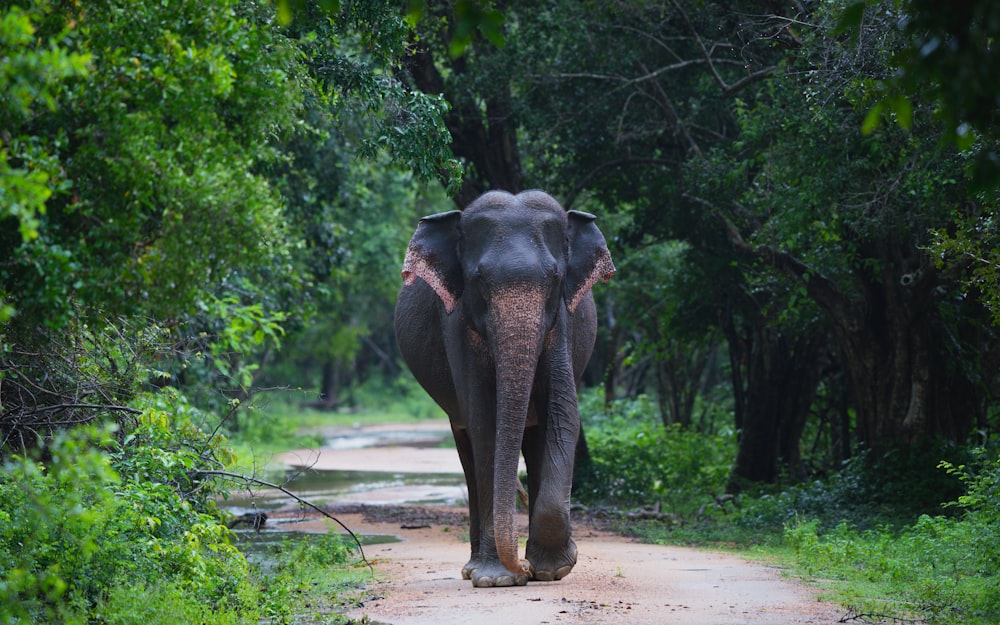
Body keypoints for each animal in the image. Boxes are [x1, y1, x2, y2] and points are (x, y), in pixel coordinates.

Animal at [394, 189, 612, 584]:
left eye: (555, 277)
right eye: (478, 278)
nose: (522, 568)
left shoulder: (562, 322)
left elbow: (563, 413)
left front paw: (552, 570)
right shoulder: (457, 323)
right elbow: (485, 420)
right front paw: (498, 579)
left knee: (535, 438)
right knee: (468, 447)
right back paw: (472, 569)